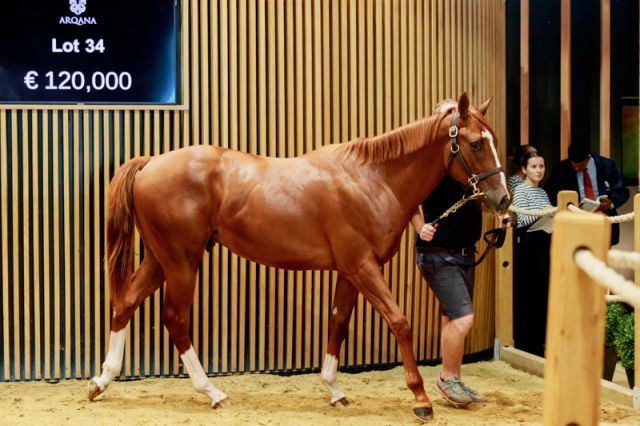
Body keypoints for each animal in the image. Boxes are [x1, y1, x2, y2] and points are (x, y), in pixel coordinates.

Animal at [86, 91, 510, 422]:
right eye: (475, 143)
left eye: (493, 139)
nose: (503, 200)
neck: (371, 179)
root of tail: (150, 163)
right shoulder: (363, 267)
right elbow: (399, 322)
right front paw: (421, 399)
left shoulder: (350, 271)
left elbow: (338, 323)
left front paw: (334, 390)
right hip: (181, 262)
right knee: (175, 320)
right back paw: (213, 393)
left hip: (161, 259)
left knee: (125, 303)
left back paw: (101, 381)